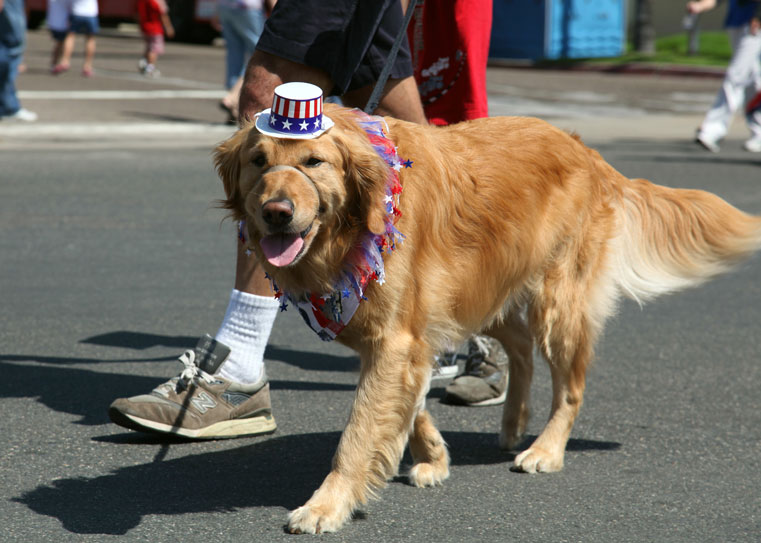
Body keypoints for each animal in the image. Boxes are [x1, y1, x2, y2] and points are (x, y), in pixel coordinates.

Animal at [212, 104, 760, 532]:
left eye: (314, 161)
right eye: (259, 161)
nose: (276, 211)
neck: (350, 231)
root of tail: (586, 151)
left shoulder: (396, 338)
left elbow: (360, 430)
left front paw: (327, 504)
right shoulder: (402, 337)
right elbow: (408, 407)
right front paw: (434, 456)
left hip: (554, 304)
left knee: (570, 386)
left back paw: (546, 449)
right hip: (480, 293)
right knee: (520, 349)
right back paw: (514, 420)